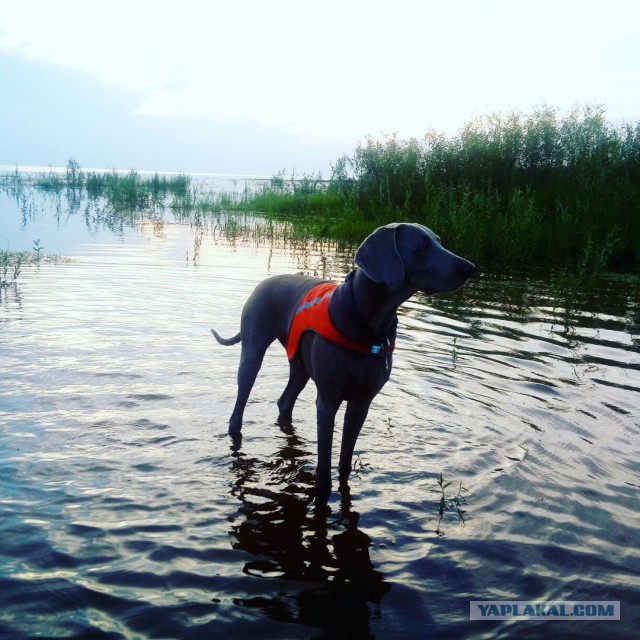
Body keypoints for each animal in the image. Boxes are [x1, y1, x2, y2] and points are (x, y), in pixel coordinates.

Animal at [211, 224, 476, 500]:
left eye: (438, 241)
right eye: (423, 246)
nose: (470, 268)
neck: (366, 321)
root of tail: (264, 282)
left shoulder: (362, 403)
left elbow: (345, 461)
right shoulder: (328, 401)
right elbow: (324, 468)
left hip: (300, 366)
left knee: (285, 400)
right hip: (253, 353)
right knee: (239, 407)